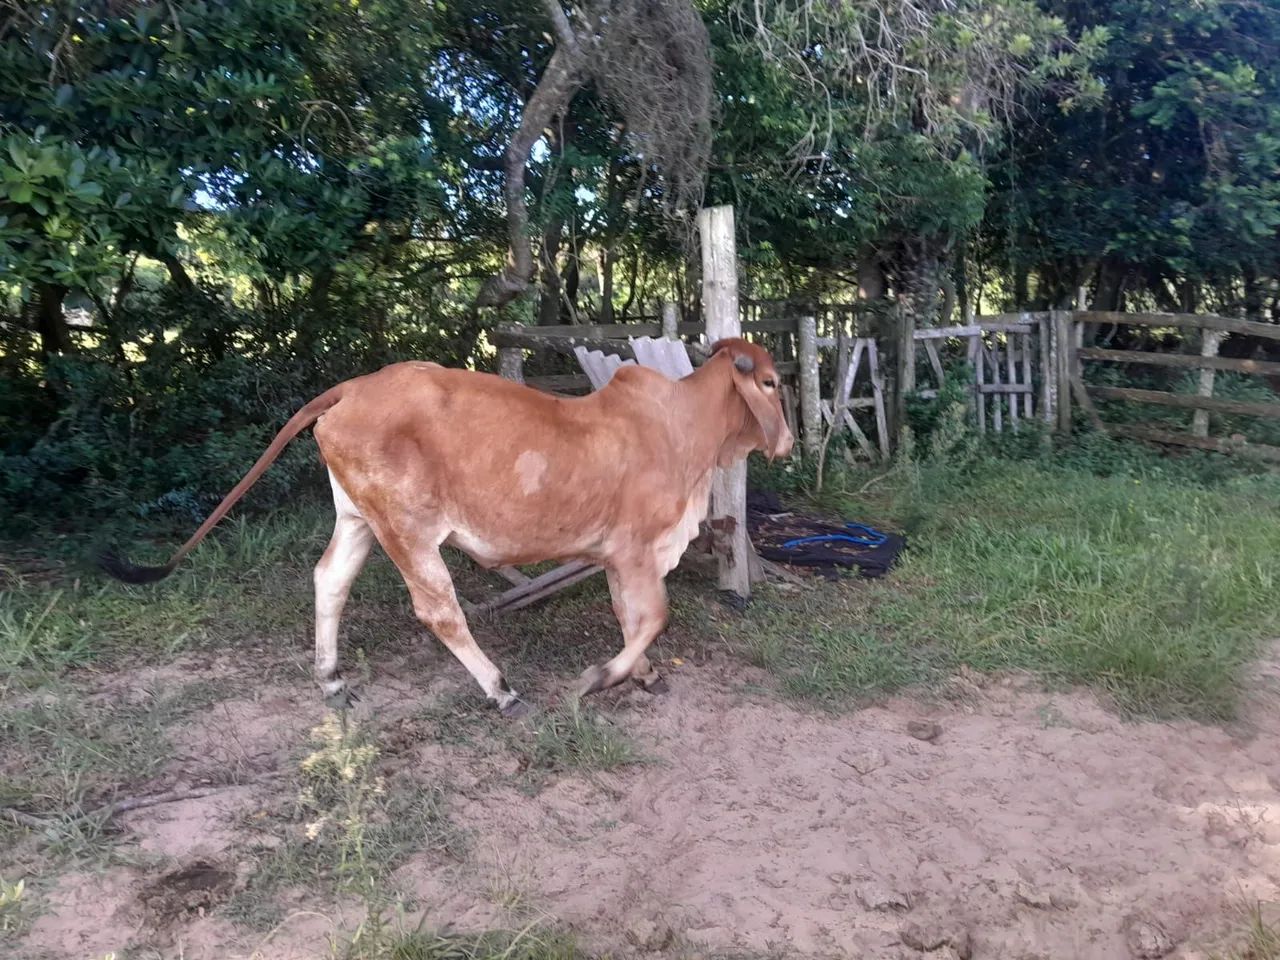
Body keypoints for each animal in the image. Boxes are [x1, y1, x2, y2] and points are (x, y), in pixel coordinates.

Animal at [99, 338, 793, 715]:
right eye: (769, 381)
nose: (787, 441)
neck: (686, 431)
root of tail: (355, 388)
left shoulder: (623, 557)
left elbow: (632, 617)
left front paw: (640, 673)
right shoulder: (634, 549)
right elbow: (650, 617)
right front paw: (601, 678)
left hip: (358, 517)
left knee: (330, 580)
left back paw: (331, 678)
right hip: (408, 530)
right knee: (438, 609)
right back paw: (499, 688)